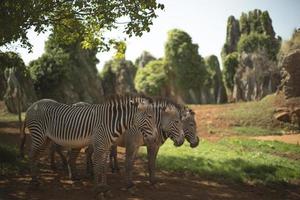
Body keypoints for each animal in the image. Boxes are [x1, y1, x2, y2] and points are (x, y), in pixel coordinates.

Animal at [19, 95, 158, 197]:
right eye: (150, 116)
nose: (155, 138)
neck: (111, 122)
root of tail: (32, 106)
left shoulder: (106, 146)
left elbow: (104, 167)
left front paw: (105, 188)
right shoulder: (100, 145)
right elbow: (97, 167)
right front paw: (97, 190)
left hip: (45, 139)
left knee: (36, 156)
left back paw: (37, 179)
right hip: (39, 135)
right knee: (31, 155)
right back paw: (34, 182)